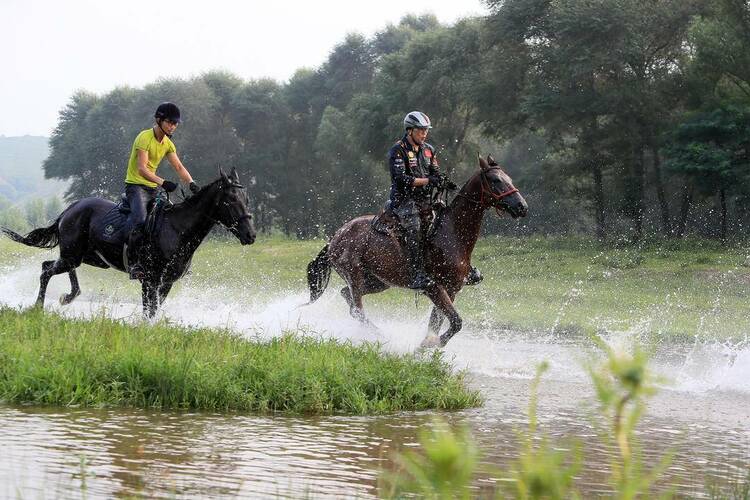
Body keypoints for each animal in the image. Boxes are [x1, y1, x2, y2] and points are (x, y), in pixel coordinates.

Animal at [2, 168, 256, 316]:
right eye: (230, 200)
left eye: (246, 198)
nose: (251, 235)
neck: (177, 229)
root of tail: (70, 209)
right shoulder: (150, 280)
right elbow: (147, 311)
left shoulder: (166, 283)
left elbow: (154, 311)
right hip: (74, 254)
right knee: (46, 270)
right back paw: (38, 307)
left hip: (86, 256)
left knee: (55, 266)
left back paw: (69, 296)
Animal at [306, 156, 528, 348]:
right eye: (495, 180)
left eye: (508, 178)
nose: (522, 207)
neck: (452, 233)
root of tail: (336, 236)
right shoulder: (434, 287)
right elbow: (456, 321)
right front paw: (430, 344)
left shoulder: (451, 289)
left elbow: (437, 323)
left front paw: (424, 347)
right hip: (354, 275)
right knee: (357, 309)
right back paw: (382, 335)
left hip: (378, 281)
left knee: (348, 297)